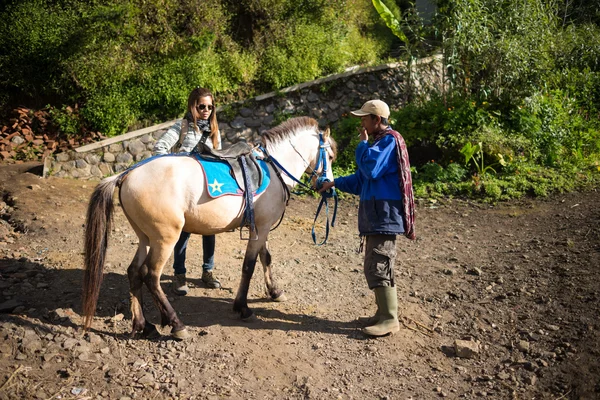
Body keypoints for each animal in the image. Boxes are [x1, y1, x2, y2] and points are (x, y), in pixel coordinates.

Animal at [81, 117, 338, 340]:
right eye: (331, 155)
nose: (328, 186)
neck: (272, 168)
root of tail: (126, 174)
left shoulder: (261, 227)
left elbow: (266, 258)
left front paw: (275, 292)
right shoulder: (261, 228)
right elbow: (249, 266)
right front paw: (242, 307)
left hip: (146, 237)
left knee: (134, 272)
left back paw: (144, 325)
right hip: (166, 238)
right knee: (150, 275)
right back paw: (176, 325)